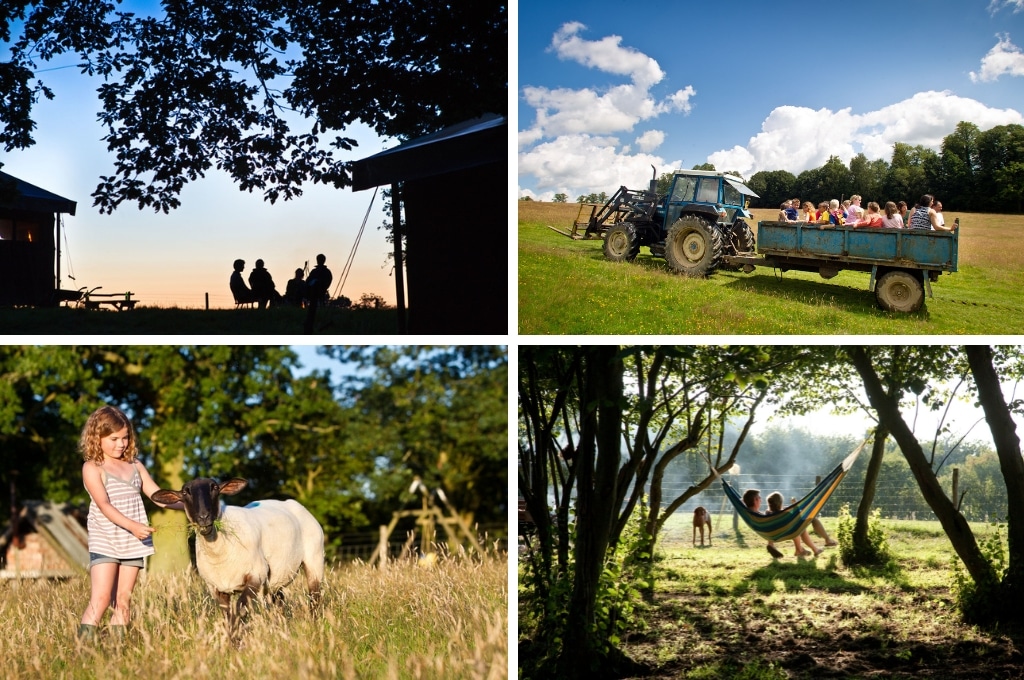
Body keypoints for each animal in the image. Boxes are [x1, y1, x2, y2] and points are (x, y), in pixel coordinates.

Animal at [152, 477, 323, 630]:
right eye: (185, 492)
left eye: (215, 488)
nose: (204, 517)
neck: (218, 553)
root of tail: (291, 503)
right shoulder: (216, 588)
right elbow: (227, 616)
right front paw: (234, 641)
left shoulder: (256, 575)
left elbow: (240, 608)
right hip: (277, 577)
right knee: (280, 600)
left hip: (315, 559)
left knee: (314, 597)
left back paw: (315, 626)